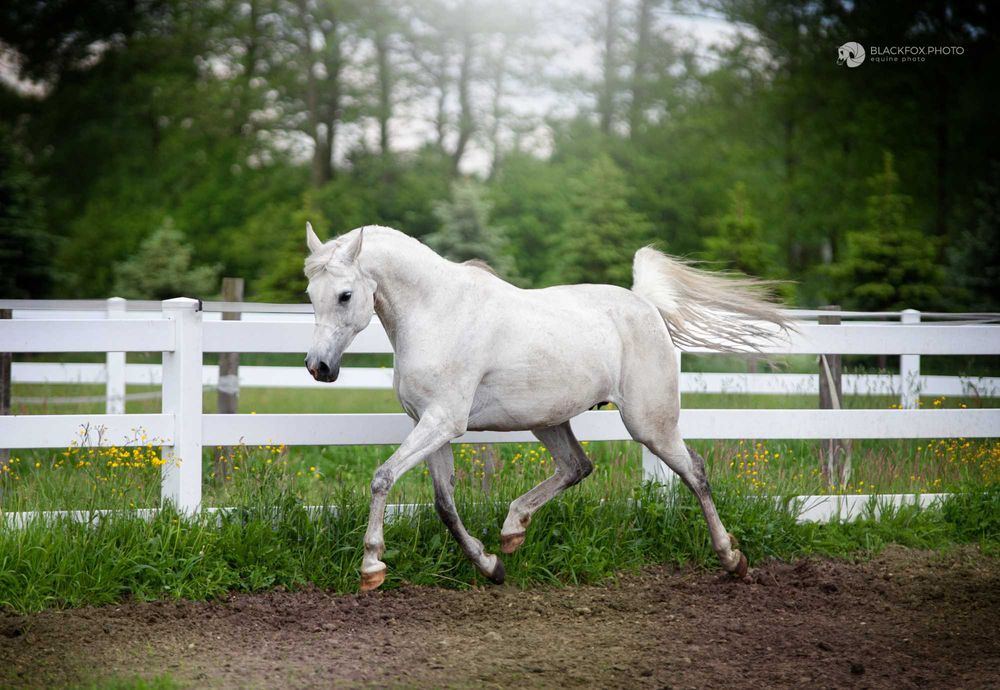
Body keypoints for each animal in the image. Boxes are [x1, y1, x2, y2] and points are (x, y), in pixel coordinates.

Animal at [304, 223, 788, 588]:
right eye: (311, 295)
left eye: (345, 295)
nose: (318, 367)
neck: (438, 313)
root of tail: (645, 304)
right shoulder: (431, 424)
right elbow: (444, 504)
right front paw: (491, 566)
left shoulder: (443, 422)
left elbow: (383, 478)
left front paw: (371, 567)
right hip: (549, 420)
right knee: (578, 466)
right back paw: (512, 530)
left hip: (650, 423)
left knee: (695, 472)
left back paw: (732, 559)